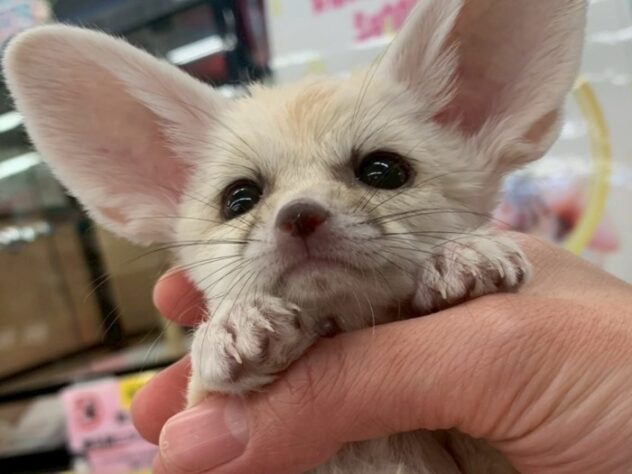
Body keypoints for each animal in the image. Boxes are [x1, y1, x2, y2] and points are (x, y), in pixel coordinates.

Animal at [3, 0, 587, 471]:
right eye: (239, 198)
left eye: (384, 170)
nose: (299, 215)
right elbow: (200, 388)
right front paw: (232, 327)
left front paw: (464, 256)